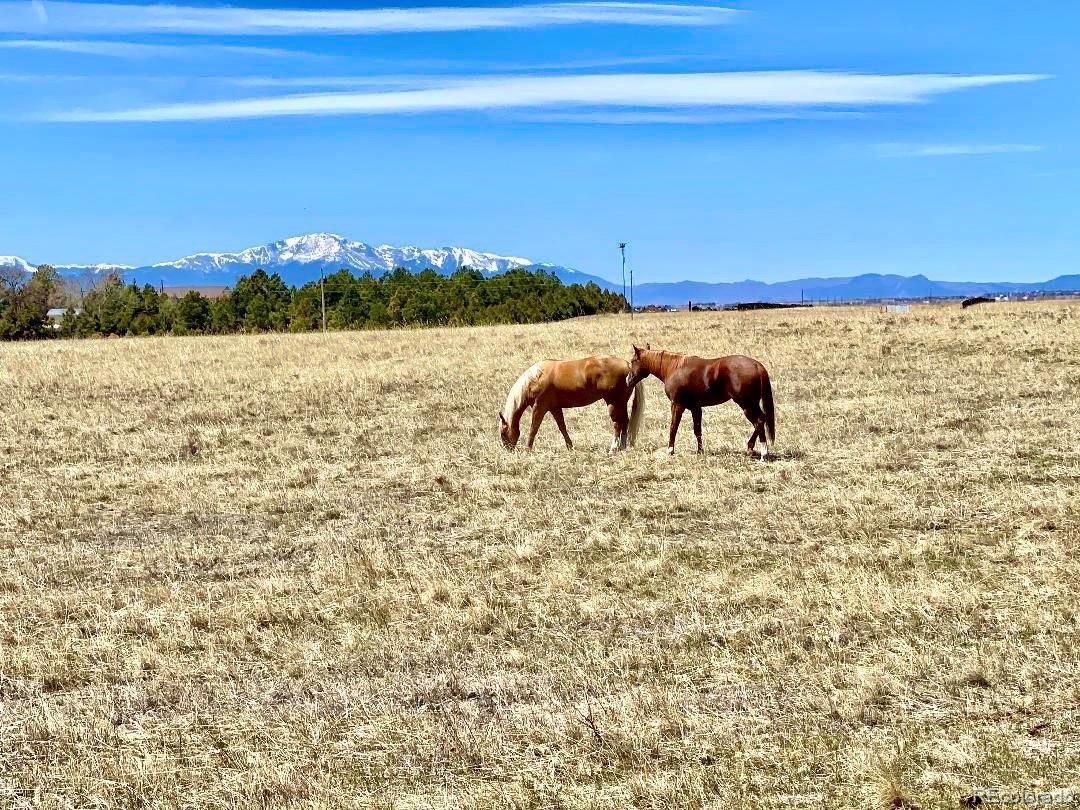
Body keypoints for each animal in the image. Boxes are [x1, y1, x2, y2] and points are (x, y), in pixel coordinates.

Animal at [501, 358, 643, 453]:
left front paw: (528, 448)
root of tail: (628, 366)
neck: (536, 378)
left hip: (613, 403)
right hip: (621, 403)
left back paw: (613, 448)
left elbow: (533, 428)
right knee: (625, 422)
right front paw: (570, 446)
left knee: (617, 424)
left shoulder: (539, 407)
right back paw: (622, 446)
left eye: (503, 433)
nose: (508, 450)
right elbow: (562, 427)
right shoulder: (555, 408)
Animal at [626, 343, 777, 460]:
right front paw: (700, 451)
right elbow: (697, 430)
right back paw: (754, 449)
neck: (674, 368)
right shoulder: (695, 407)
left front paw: (670, 450)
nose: (628, 380)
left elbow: (673, 427)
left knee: (759, 422)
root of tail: (757, 365)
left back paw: (762, 453)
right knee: (762, 420)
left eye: (633, 361)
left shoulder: (677, 405)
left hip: (746, 405)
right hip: (752, 404)